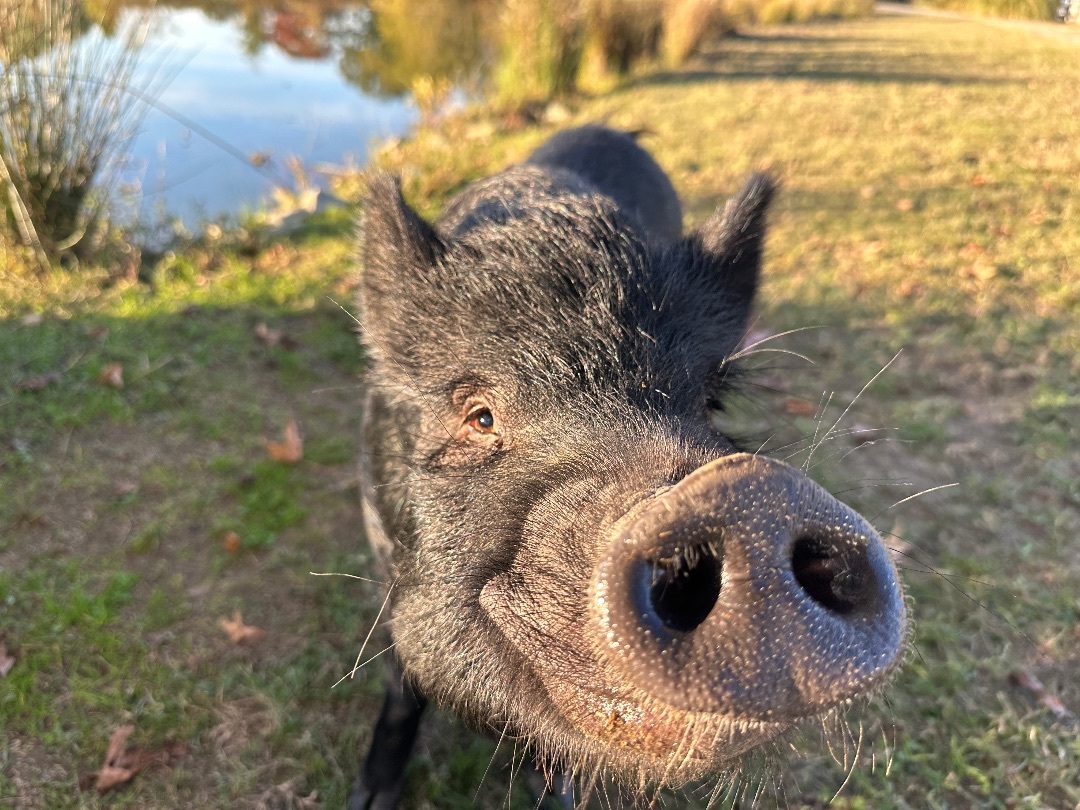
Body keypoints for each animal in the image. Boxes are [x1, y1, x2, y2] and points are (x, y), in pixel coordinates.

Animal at [349, 125, 907, 809]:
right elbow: (401, 681)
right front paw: (368, 798)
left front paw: (558, 792)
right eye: (479, 416)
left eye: (709, 401)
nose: (754, 496)